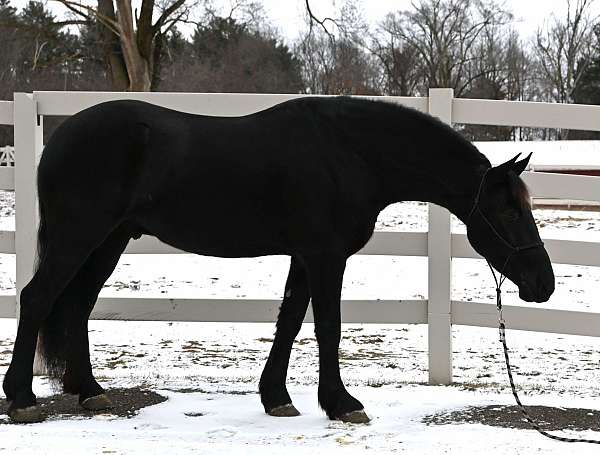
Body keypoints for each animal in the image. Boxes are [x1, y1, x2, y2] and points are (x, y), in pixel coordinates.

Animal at [1, 95, 552, 424]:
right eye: (508, 210)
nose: (543, 284)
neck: (349, 154)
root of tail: (61, 136)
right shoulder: (326, 256)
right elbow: (327, 326)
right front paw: (342, 404)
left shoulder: (304, 256)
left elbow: (289, 320)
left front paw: (277, 397)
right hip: (78, 237)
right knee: (37, 298)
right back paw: (23, 399)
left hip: (108, 241)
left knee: (76, 306)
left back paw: (90, 391)